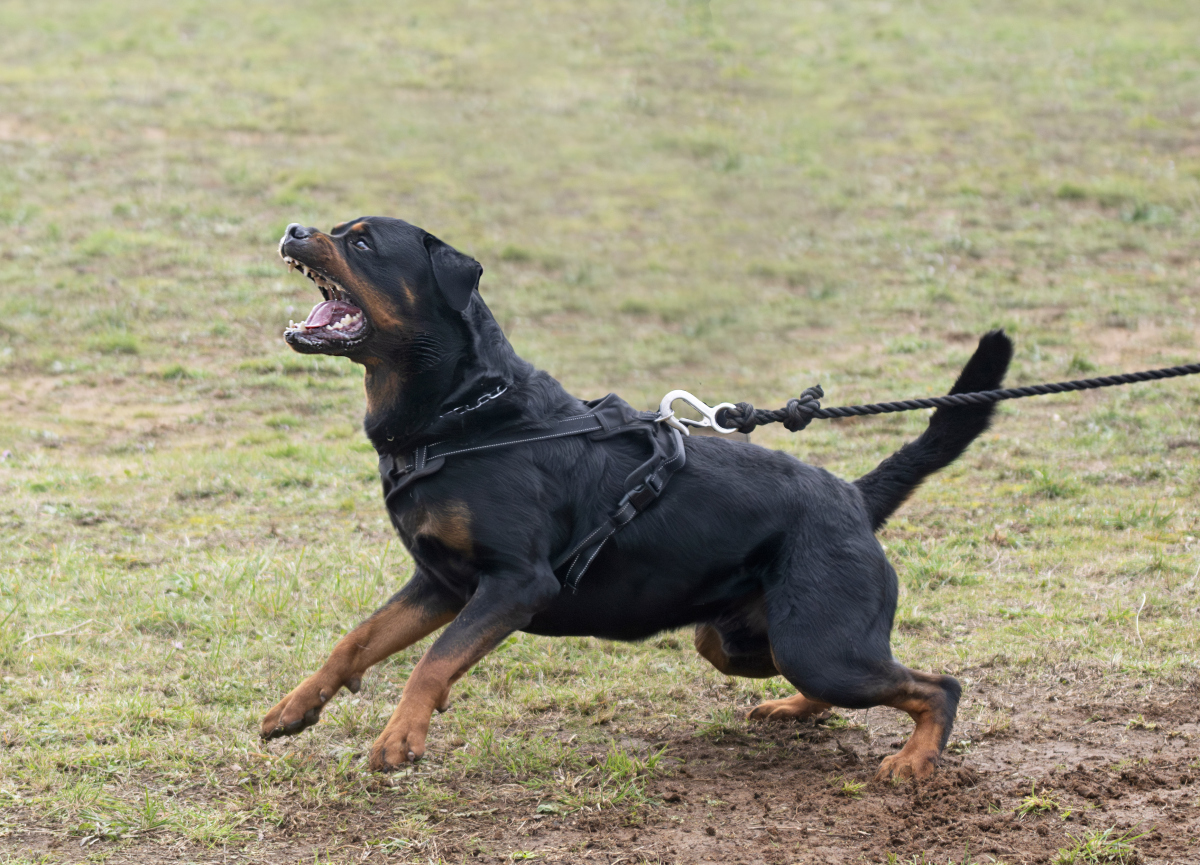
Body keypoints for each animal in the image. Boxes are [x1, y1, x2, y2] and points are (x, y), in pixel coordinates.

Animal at [262, 214, 1012, 777]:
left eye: (362, 243)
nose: (295, 227)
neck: (464, 417)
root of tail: (852, 498)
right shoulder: (440, 583)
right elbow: (357, 640)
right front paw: (295, 707)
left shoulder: (514, 583)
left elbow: (431, 662)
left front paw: (399, 737)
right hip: (743, 641)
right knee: (841, 686)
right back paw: (795, 711)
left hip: (818, 643)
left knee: (936, 686)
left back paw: (914, 760)